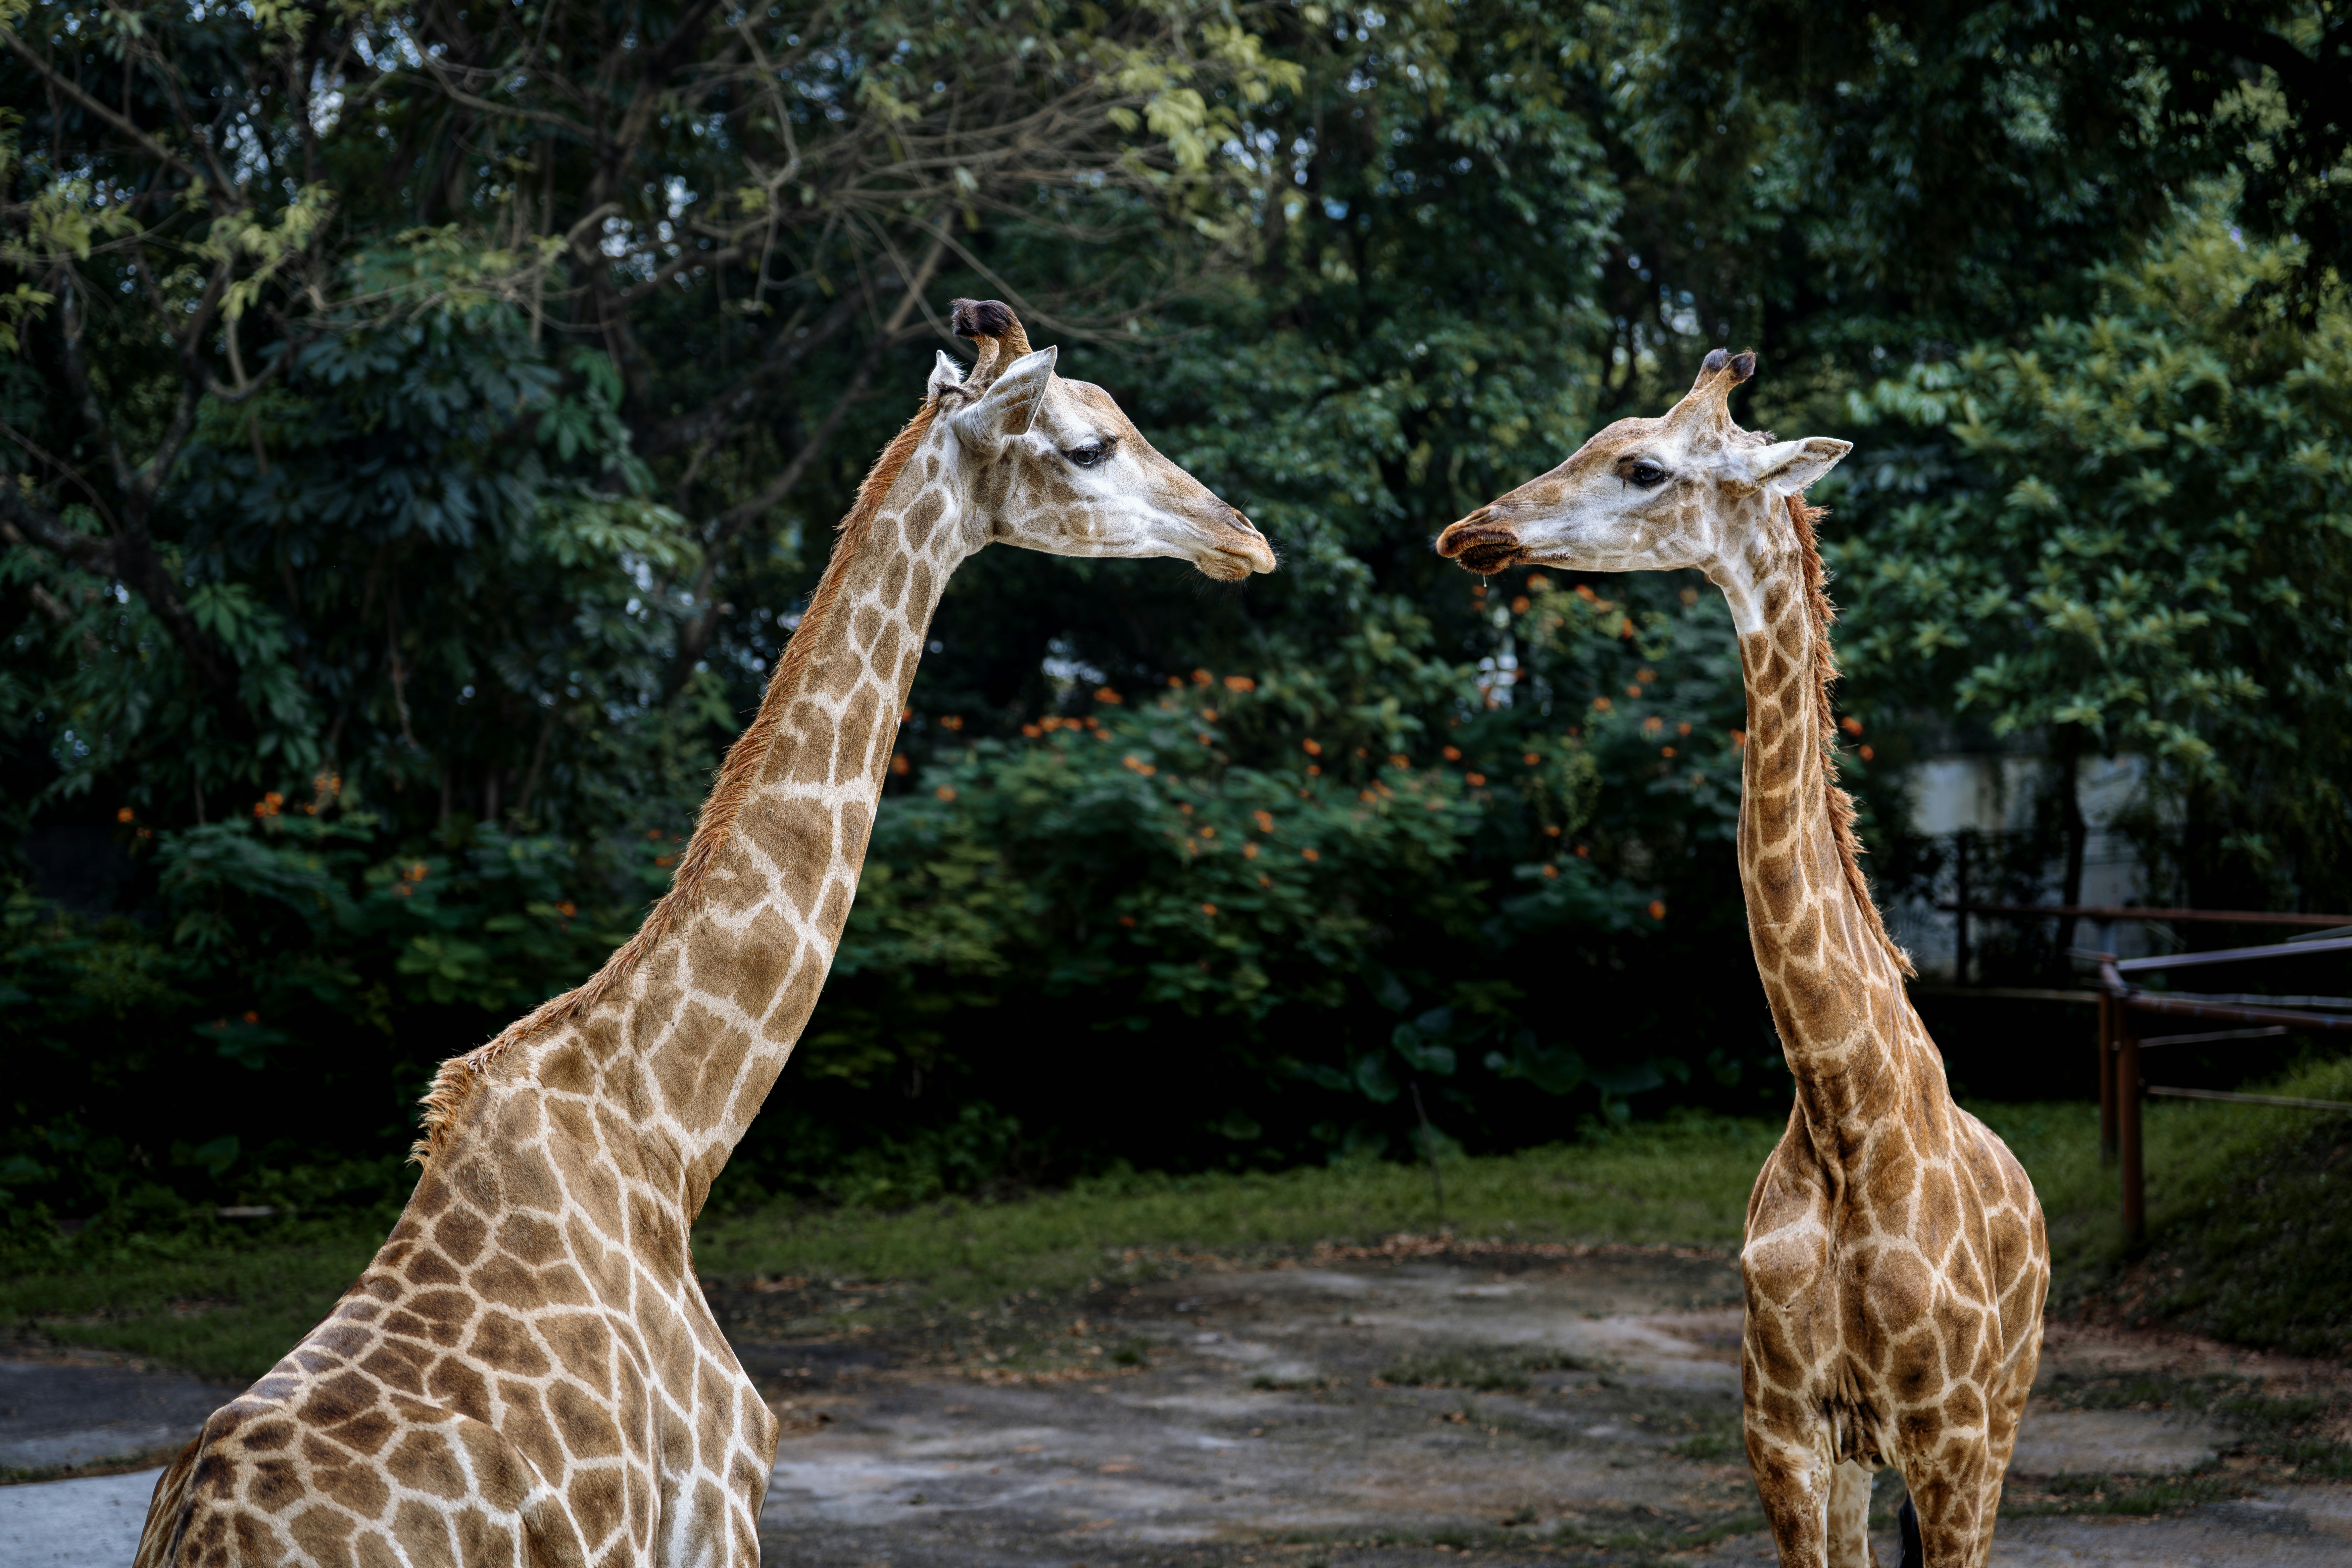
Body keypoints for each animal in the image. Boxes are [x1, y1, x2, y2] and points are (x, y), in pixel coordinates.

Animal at [1434, 350, 2048, 1568]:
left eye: (1643, 467)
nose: (1472, 531)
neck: (1841, 1108)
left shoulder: (1950, 1437)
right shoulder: (1783, 1430)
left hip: (2002, 1413)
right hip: (1864, 1459)